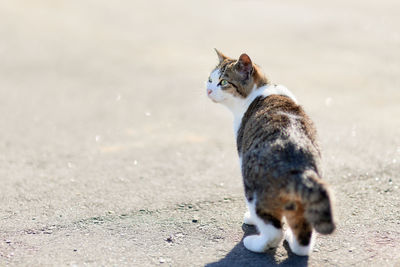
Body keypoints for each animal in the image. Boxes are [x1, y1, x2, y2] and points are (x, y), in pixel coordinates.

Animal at [206, 49, 334, 256]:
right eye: (210, 79)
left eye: (223, 82)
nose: (208, 90)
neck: (261, 90)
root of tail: (298, 164)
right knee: (303, 238)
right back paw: (294, 241)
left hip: (254, 187)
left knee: (273, 230)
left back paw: (255, 243)